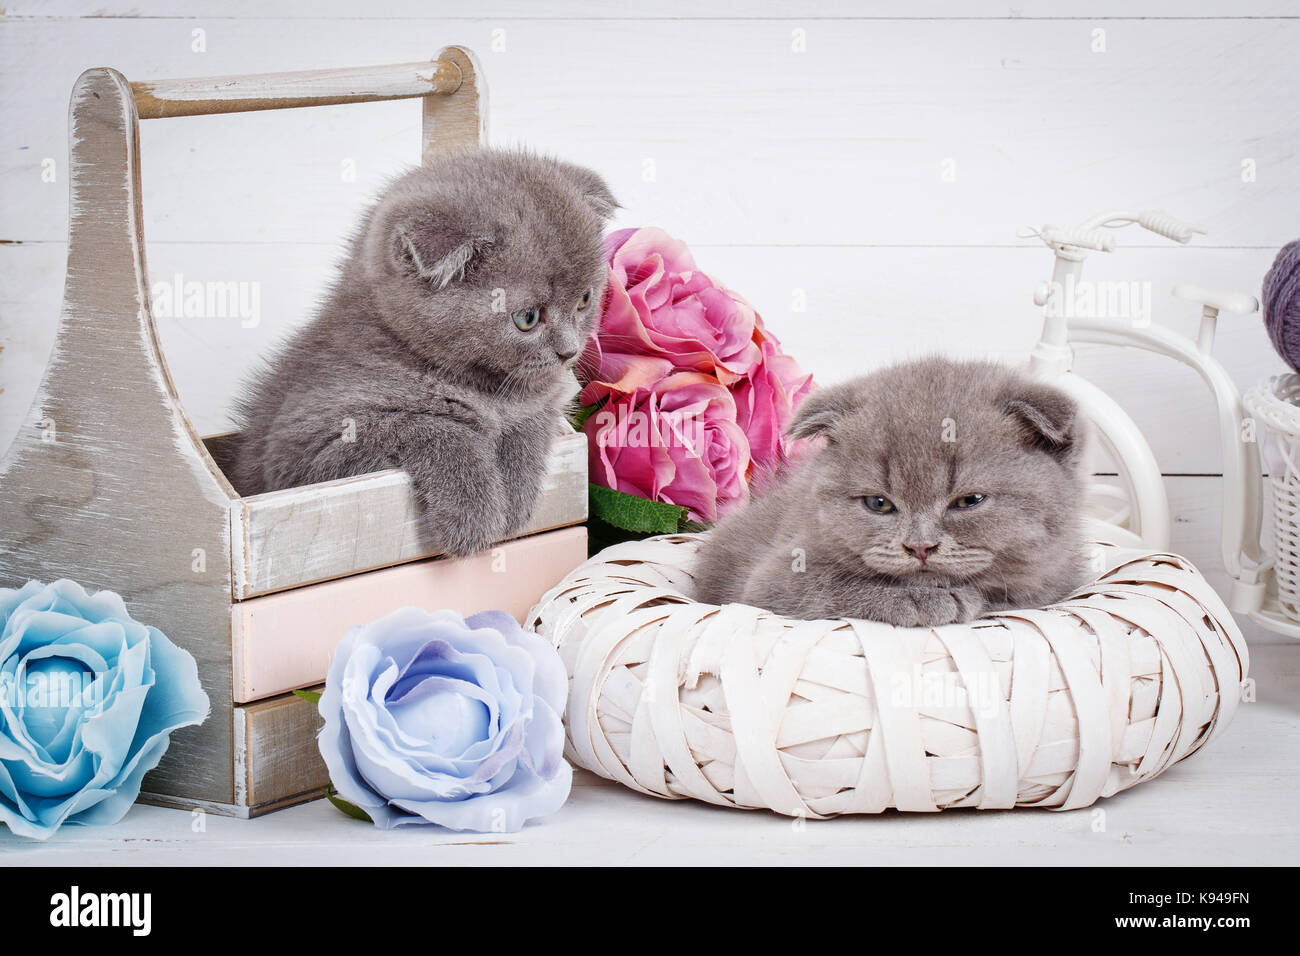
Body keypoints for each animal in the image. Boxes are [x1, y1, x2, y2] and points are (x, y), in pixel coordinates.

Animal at [231, 147, 616, 554]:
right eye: (527, 318)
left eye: (585, 299)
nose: (569, 352)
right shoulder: (299, 451)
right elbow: (430, 425)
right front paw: (473, 509)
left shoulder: (545, 400)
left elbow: (530, 420)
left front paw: (516, 487)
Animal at [696, 356, 1092, 624]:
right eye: (878, 504)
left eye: (969, 501)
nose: (920, 547)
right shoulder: (771, 580)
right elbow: (827, 584)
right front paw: (920, 599)